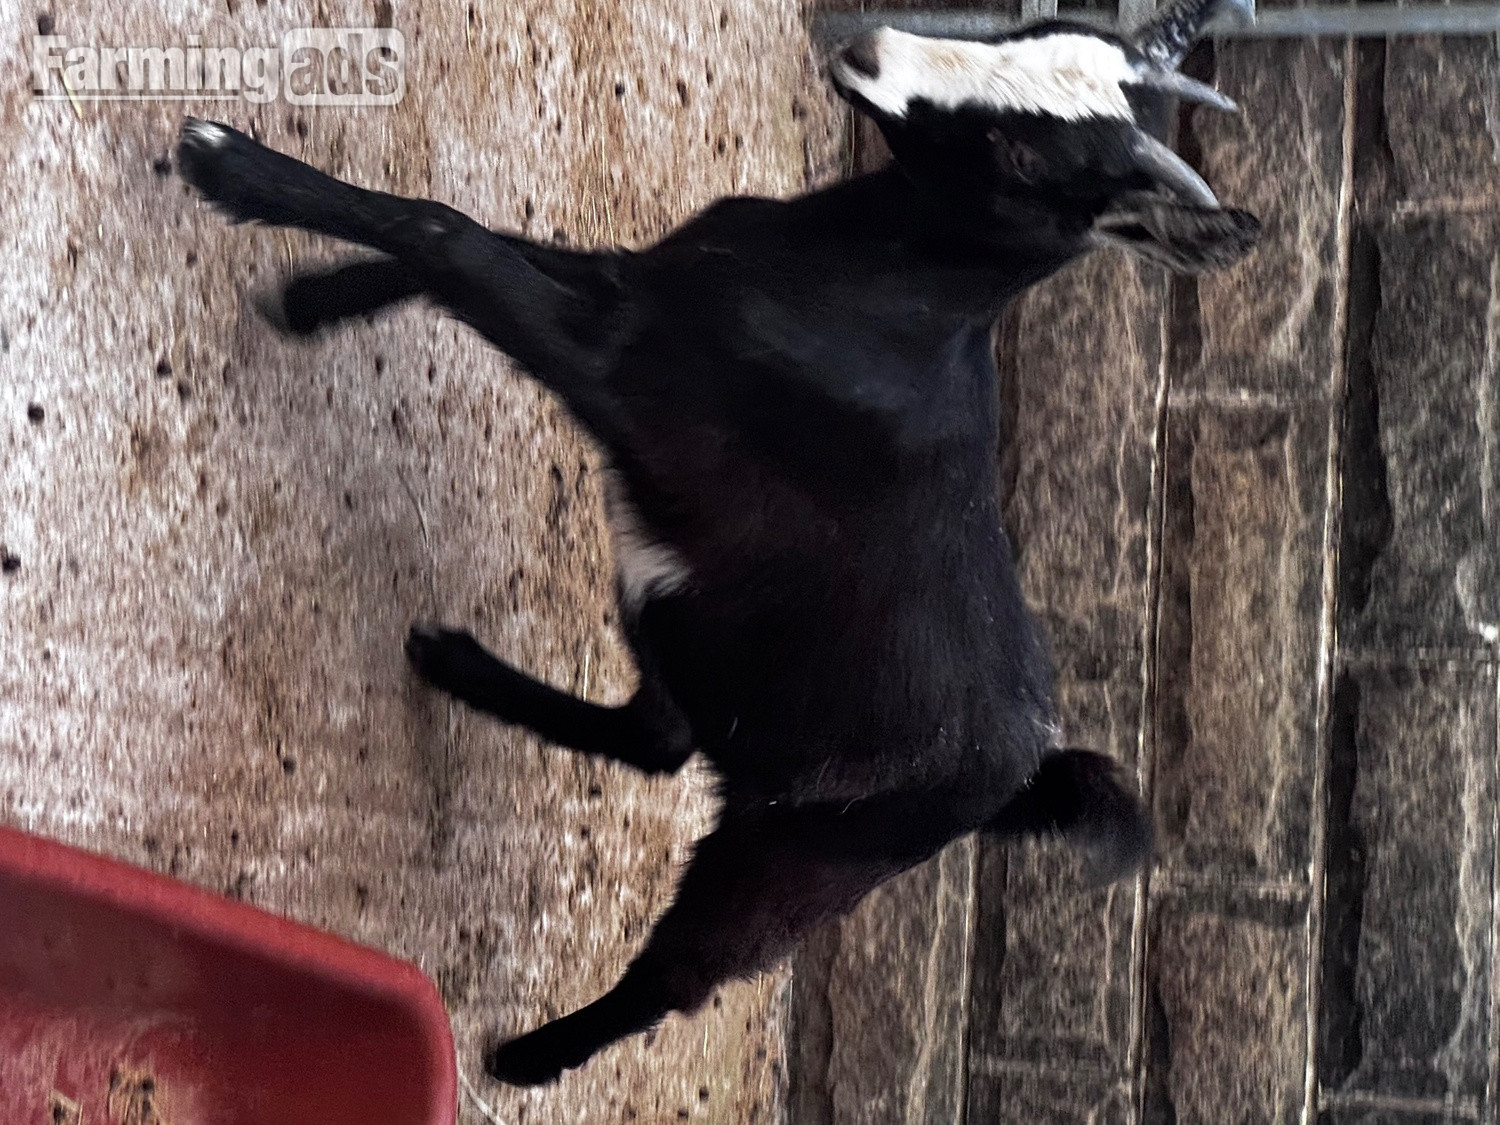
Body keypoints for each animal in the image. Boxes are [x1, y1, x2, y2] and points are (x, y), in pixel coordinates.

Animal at [175, 0, 1258, 1086]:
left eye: (1027, 156)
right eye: (1031, 29)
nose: (866, 52)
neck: (869, 286)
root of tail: (1021, 778)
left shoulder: (627, 367)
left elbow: (455, 238)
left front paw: (224, 165)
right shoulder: (637, 285)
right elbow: (489, 240)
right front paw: (313, 297)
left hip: (798, 858)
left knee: (678, 977)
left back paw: (522, 1058)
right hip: (701, 635)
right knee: (659, 737)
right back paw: (451, 662)